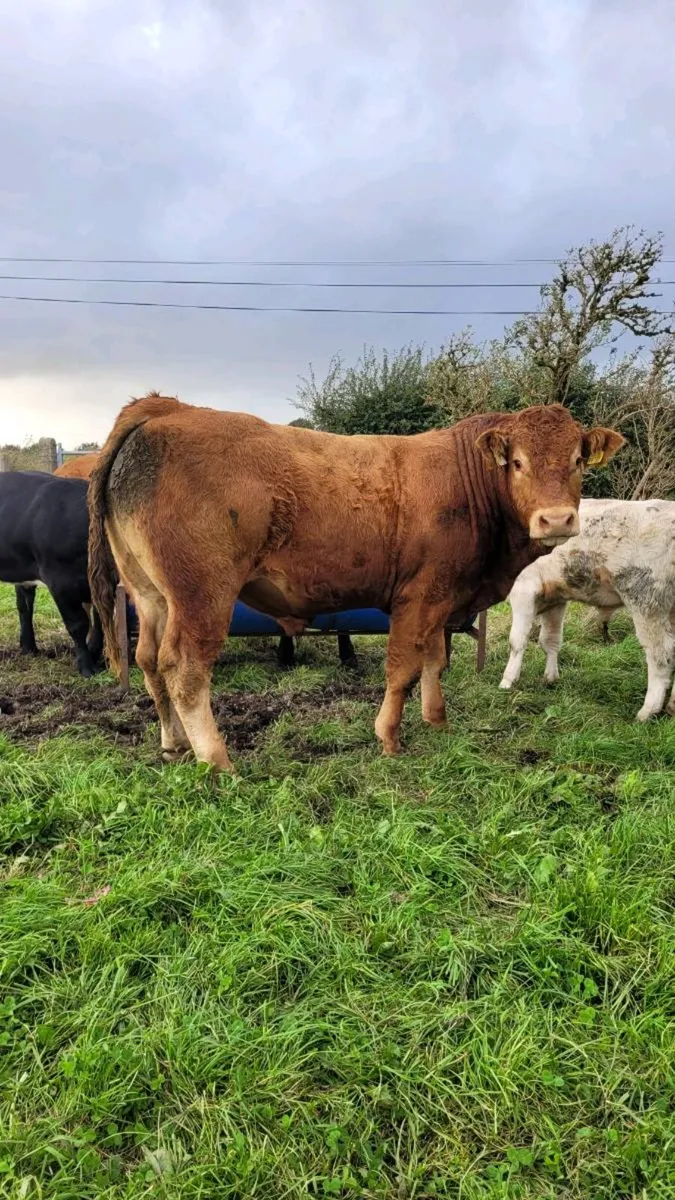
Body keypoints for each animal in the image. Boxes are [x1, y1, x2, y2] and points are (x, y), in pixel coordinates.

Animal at [0, 472, 103, 676]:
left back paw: (29, 647)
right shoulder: (60, 581)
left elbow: (101, 620)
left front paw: (96, 654)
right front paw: (86, 667)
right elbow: (78, 624)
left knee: (24, 606)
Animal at [87, 393, 624, 771]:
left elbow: (435, 661)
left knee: (149, 660)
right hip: (203, 595)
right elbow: (403, 668)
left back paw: (174, 745)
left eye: (577, 461)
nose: (556, 519)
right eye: (517, 462)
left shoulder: (441, 599)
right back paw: (217, 762)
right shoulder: (418, 598)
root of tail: (165, 409)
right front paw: (389, 737)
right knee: (185, 670)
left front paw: (437, 721)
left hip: (150, 595)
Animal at [499, 498, 675, 721]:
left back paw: (647, 711)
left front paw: (507, 681)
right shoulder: (556, 598)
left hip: (646, 601)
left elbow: (517, 641)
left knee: (660, 655)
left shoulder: (523, 588)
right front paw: (550, 678)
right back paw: (672, 706)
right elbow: (550, 641)